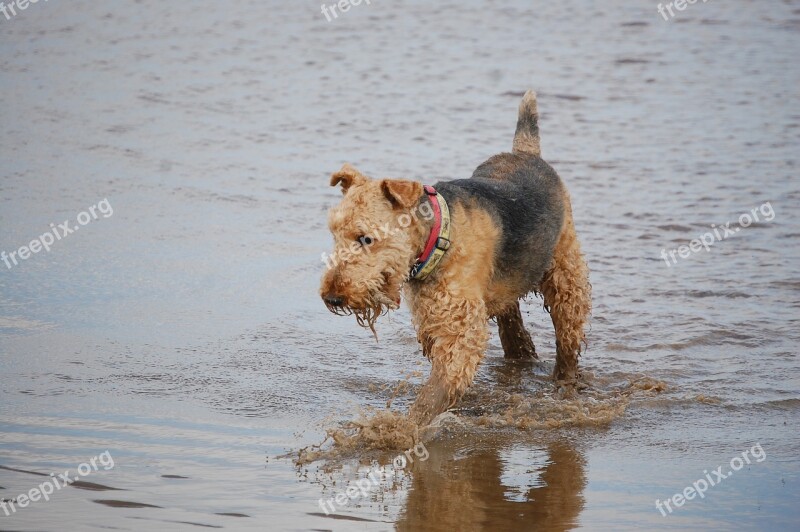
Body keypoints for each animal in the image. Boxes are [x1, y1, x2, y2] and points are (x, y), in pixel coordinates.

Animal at [322, 90, 592, 424]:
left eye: (366, 238)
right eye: (334, 233)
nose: (332, 297)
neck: (438, 238)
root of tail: (526, 152)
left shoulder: (460, 329)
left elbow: (435, 392)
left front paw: (403, 428)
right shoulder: (433, 321)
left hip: (566, 276)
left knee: (567, 340)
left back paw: (564, 384)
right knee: (512, 325)